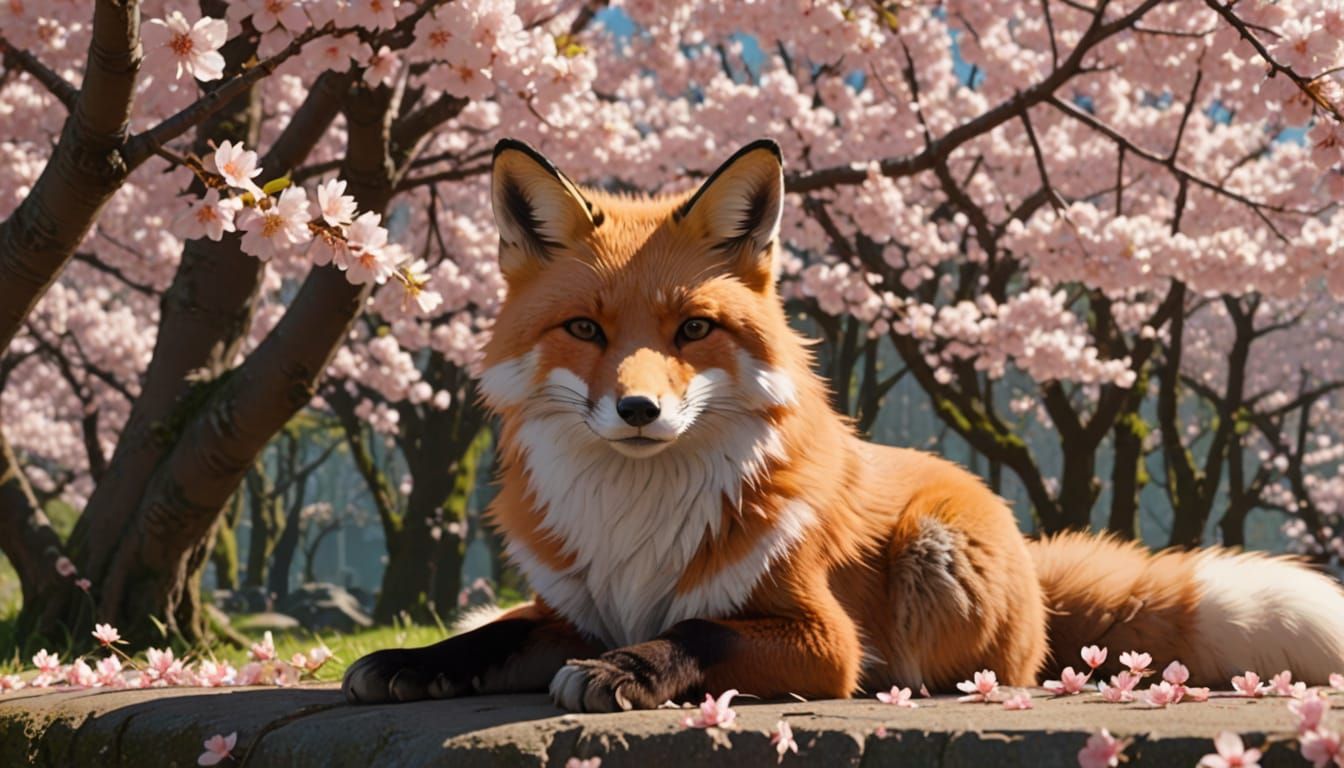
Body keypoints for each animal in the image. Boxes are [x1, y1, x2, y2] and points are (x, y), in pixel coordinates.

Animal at [342, 138, 1344, 712]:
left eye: (693, 329)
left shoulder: (822, 641)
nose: (638, 409)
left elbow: (698, 632)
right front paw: (411, 661)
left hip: (934, 554)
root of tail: (1032, 562)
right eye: (584, 330)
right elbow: (493, 637)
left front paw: (630, 672)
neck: (636, 518)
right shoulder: (575, 612)